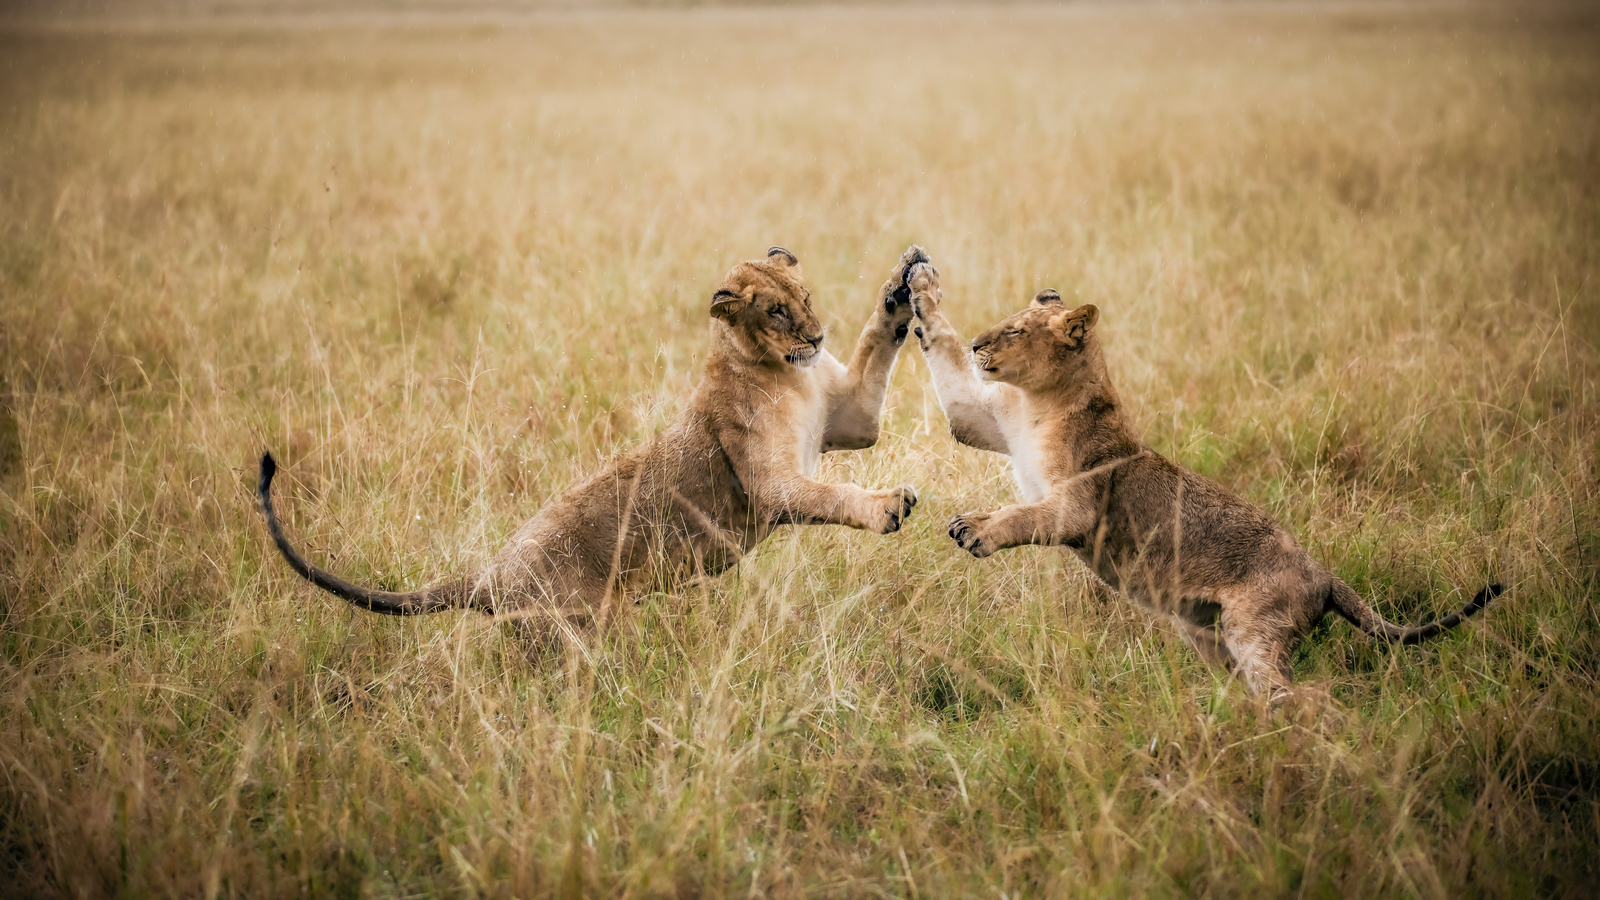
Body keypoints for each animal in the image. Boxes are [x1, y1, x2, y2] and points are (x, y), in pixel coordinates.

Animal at [259, 246, 925, 634]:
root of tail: (488, 576)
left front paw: (902, 288)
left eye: (804, 298)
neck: (788, 372)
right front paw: (888, 505)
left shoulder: (851, 418)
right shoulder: (770, 486)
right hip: (580, 629)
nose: (815, 337)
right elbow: (831, 494)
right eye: (775, 312)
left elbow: (876, 341)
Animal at [907, 259, 1501, 697]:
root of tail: (1324, 574)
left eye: (1015, 330)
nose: (980, 346)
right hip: (1208, 636)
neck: (1039, 404)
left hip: (1256, 629)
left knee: (1299, 698)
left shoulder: (1079, 502)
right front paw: (920, 289)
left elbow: (1021, 514)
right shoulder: (981, 419)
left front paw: (976, 529)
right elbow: (945, 359)